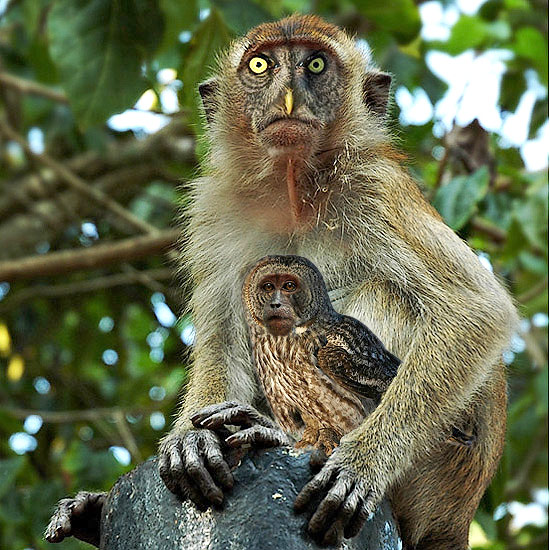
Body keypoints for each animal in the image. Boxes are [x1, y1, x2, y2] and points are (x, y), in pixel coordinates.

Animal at [45, 14, 520, 550]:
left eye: (315, 65)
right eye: (261, 65)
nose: (290, 96)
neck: (296, 188)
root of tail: (456, 514)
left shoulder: (376, 190)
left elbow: (475, 309)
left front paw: (362, 462)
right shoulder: (216, 208)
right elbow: (224, 326)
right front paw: (191, 439)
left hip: (439, 460)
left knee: (379, 297)